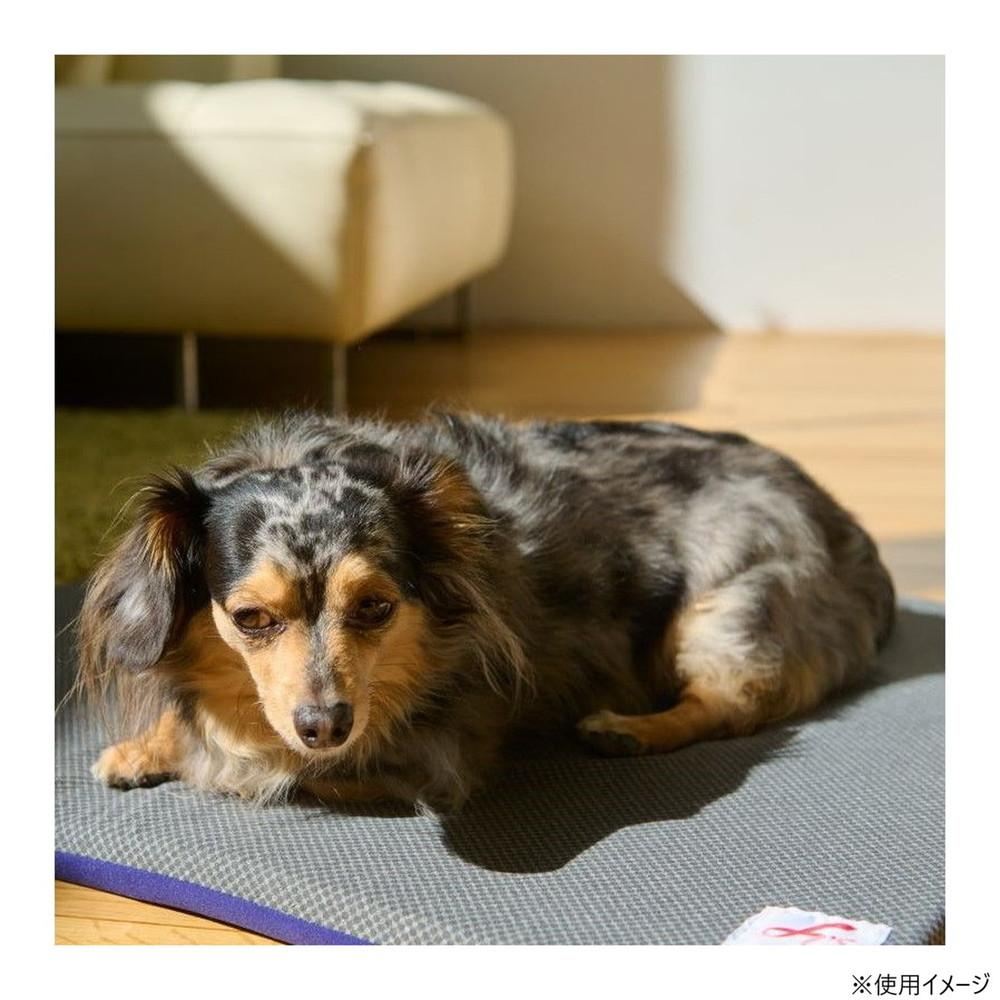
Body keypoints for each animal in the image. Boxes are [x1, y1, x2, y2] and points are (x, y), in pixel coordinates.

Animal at [77, 411, 895, 813]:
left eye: (374, 607)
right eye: (250, 620)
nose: (326, 725)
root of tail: (842, 520)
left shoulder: (437, 757)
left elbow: (260, 763)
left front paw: (198, 751)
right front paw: (144, 745)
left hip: (723, 610)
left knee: (731, 704)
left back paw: (628, 729)